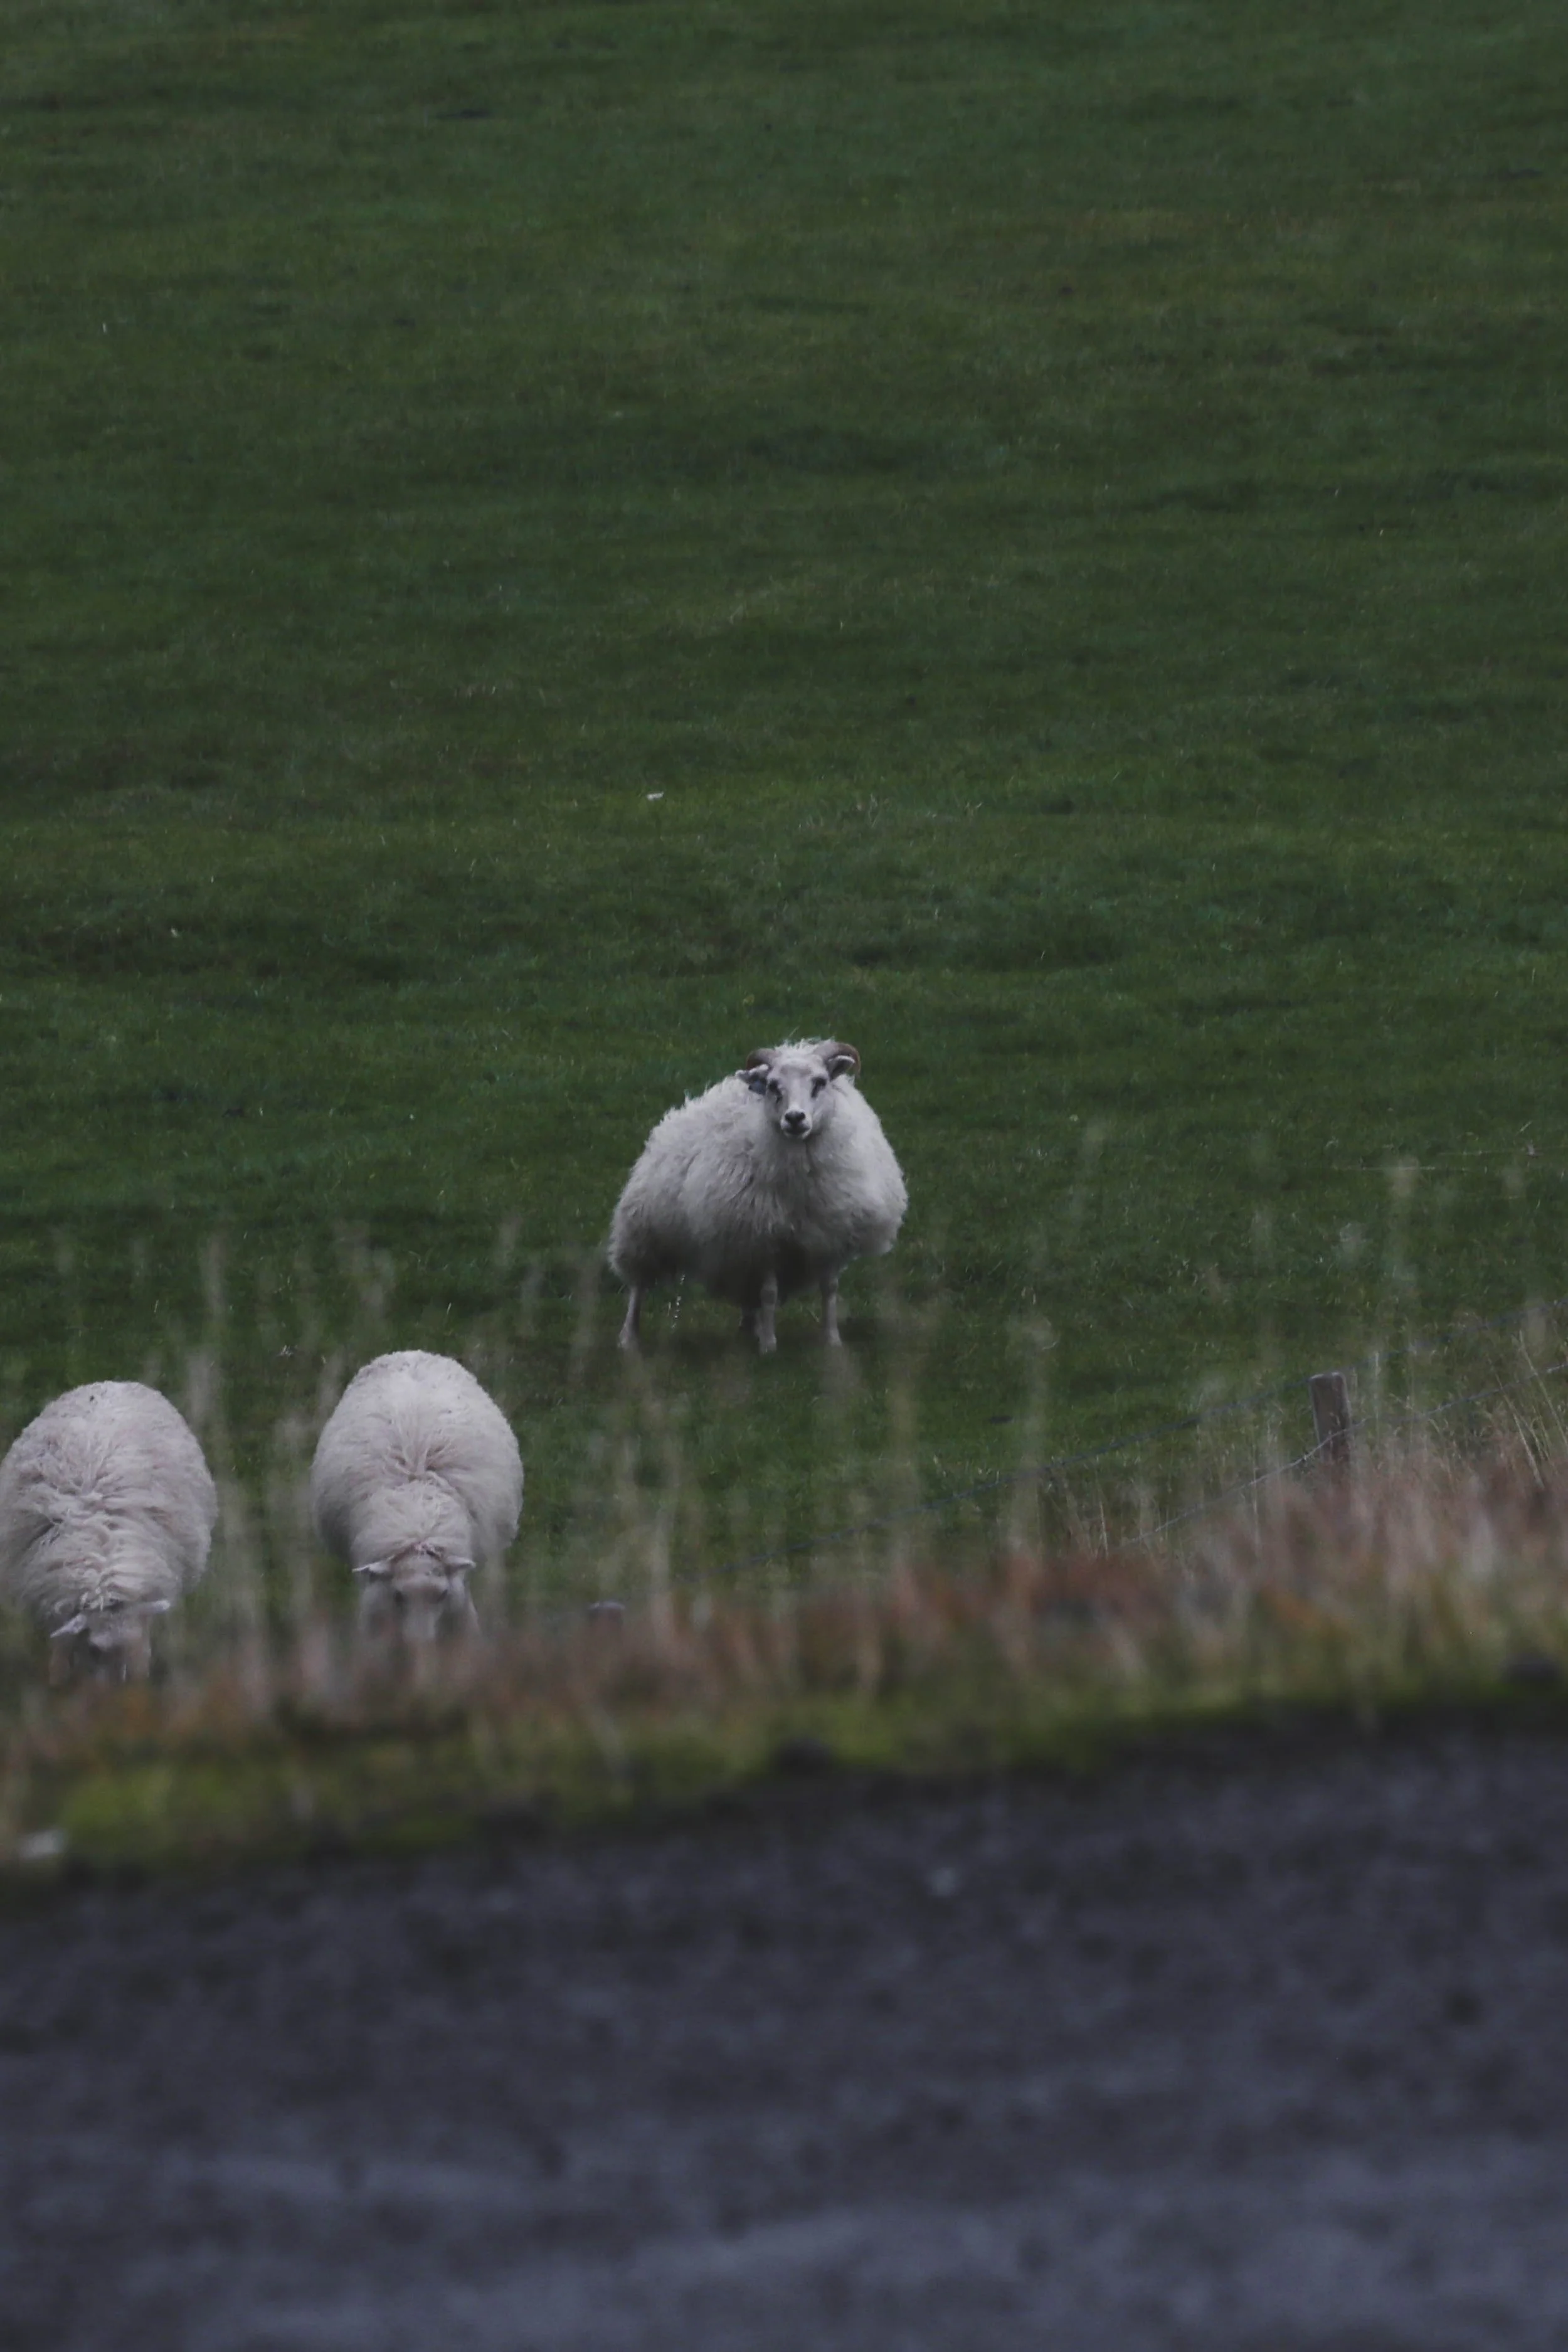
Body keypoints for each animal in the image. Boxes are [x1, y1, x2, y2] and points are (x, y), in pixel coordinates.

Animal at [609, 1039, 908, 1353]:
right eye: (774, 1086)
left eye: (820, 1082)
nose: (795, 1118)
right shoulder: (762, 1237)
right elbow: (769, 1293)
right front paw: (769, 1346)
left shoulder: (830, 1235)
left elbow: (829, 1289)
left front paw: (832, 1340)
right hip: (644, 1228)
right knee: (638, 1286)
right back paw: (629, 1338)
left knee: (747, 1292)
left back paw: (748, 1329)